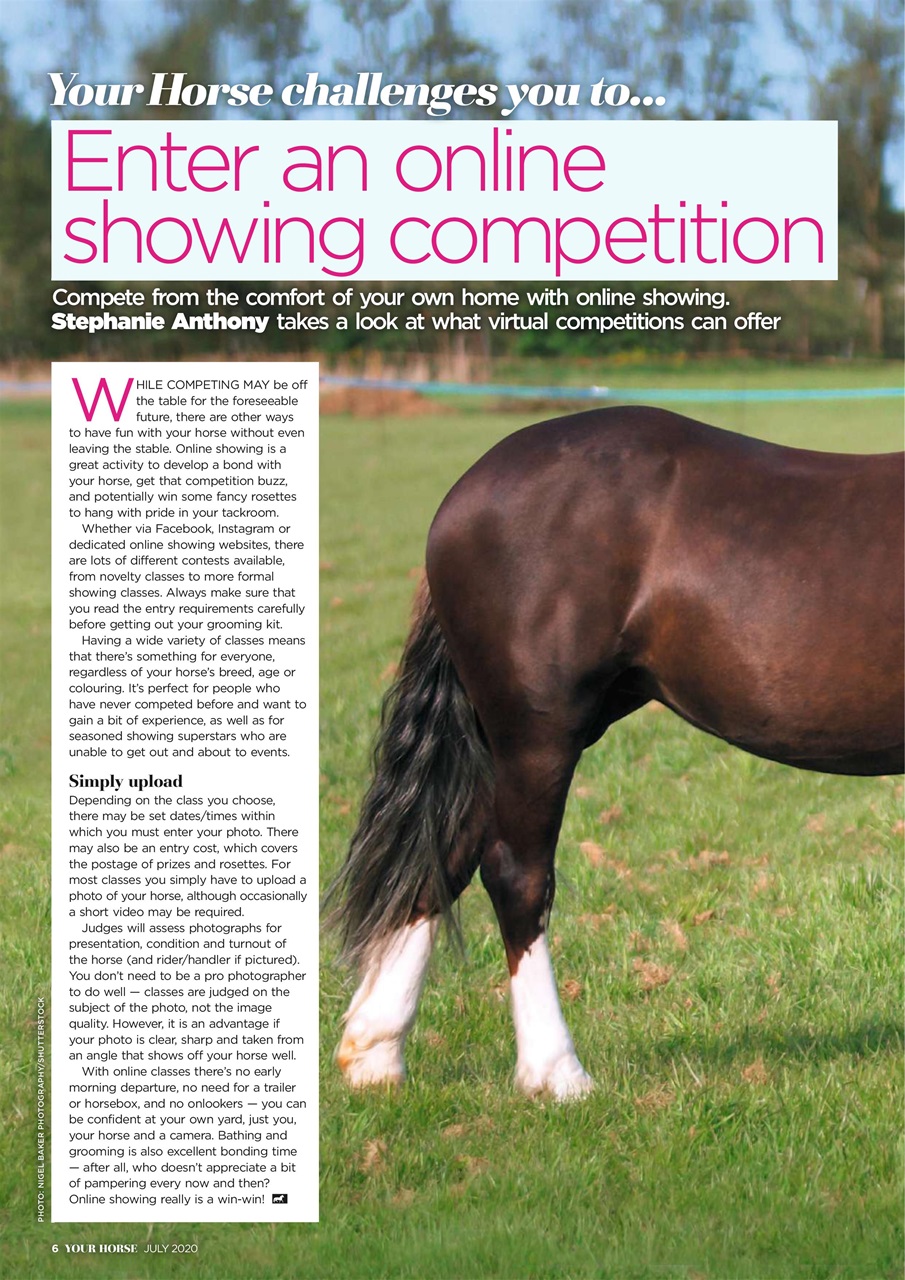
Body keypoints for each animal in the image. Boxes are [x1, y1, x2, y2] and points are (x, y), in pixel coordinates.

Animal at [328, 405, 904, 1099]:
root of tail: (462, 495)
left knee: (443, 852)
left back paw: (375, 1056)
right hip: (539, 735)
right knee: (515, 875)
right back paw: (556, 1074)